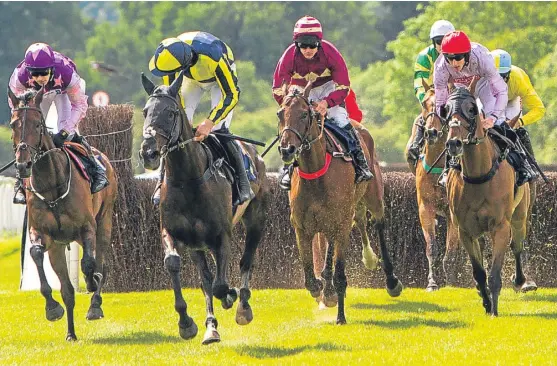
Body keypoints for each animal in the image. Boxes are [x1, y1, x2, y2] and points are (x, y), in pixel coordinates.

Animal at [7, 86, 117, 340]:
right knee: (67, 289)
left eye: (38, 124)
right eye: (13, 124)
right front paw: (51, 308)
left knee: (102, 263)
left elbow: (89, 264)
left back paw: (95, 303)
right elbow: (36, 254)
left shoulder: (87, 228)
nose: (23, 165)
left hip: (105, 221)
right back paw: (71, 333)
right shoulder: (42, 233)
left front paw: (91, 286)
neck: (52, 185)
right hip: (58, 248)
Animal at [139, 73, 270, 344]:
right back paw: (211, 327)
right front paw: (186, 323)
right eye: (145, 111)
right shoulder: (174, 233)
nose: (148, 153)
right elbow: (177, 266)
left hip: (256, 220)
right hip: (197, 245)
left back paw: (242, 306)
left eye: (170, 113)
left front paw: (230, 296)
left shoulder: (222, 235)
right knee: (207, 278)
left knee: (246, 261)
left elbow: (221, 285)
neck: (188, 179)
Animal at [276, 82, 400, 324]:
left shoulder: (342, 224)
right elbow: (309, 275)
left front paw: (340, 316)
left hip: (372, 195)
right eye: (280, 114)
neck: (315, 173)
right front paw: (322, 290)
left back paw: (390, 279)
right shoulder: (302, 227)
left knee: (378, 224)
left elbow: (340, 274)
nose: (287, 149)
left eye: (304, 114)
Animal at [434, 86, 536, 314]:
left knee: (517, 245)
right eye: (446, 110)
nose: (453, 143)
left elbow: (495, 273)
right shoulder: (465, 230)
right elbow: (479, 272)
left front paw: (494, 311)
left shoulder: (500, 226)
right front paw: (487, 303)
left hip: (519, 216)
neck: (478, 176)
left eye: (472, 110)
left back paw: (521, 281)